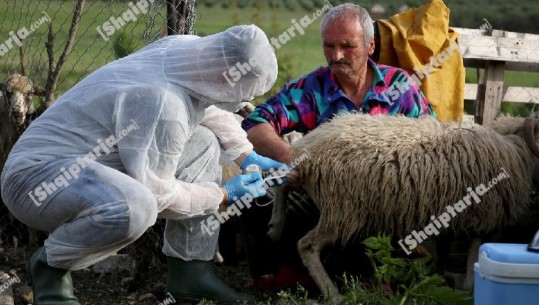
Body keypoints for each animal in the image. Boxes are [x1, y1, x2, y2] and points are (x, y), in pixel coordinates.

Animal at [268, 113, 539, 300]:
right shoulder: (481, 218)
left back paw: (275, 226)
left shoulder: (450, 216)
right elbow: (474, 257)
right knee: (307, 246)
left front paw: (440, 279)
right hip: (342, 210)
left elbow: (443, 253)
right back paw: (333, 294)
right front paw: (469, 288)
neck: (513, 146)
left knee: (281, 180)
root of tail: (309, 148)